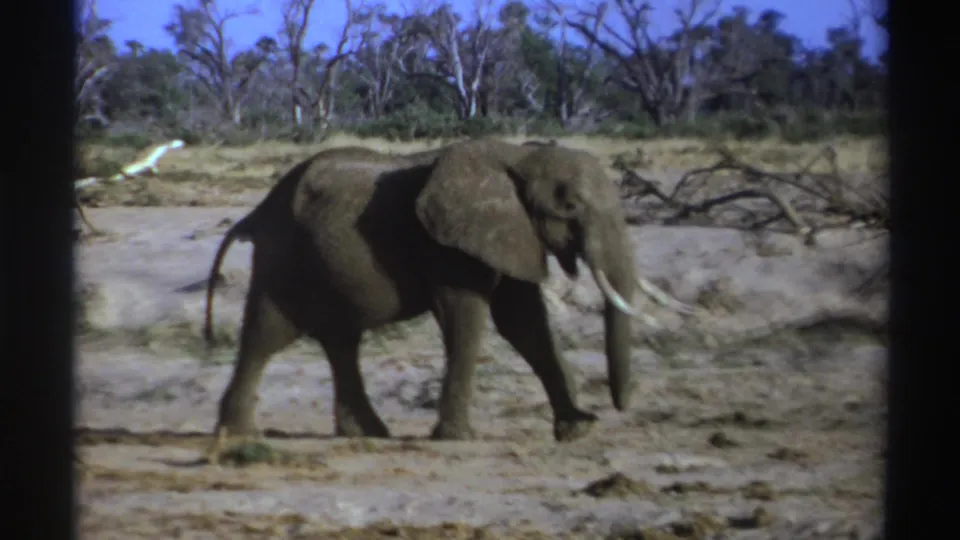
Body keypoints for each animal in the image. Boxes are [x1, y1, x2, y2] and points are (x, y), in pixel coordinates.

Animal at [203, 138, 693, 444]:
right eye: (570, 207)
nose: (618, 409)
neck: (521, 156)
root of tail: (256, 211)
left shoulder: (509, 236)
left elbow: (524, 323)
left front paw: (578, 430)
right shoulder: (448, 244)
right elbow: (467, 317)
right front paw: (459, 439)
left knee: (340, 340)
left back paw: (368, 434)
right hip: (283, 257)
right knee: (268, 333)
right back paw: (238, 435)